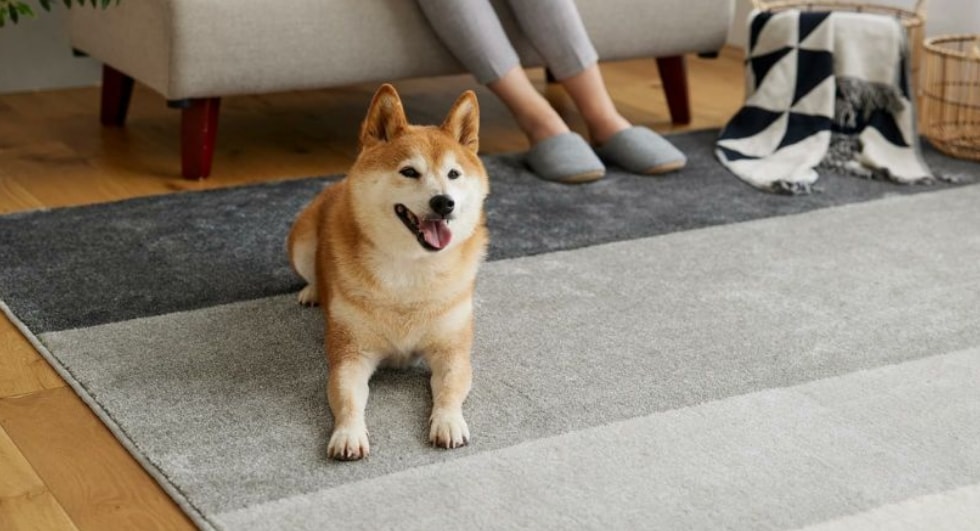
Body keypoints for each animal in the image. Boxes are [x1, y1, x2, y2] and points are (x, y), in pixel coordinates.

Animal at [288, 84, 494, 462]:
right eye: (409, 172)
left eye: (453, 174)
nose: (444, 202)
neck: (411, 268)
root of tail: (338, 184)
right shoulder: (351, 355)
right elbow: (348, 398)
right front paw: (348, 433)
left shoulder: (452, 351)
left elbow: (450, 389)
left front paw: (448, 422)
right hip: (303, 242)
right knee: (309, 271)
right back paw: (313, 291)